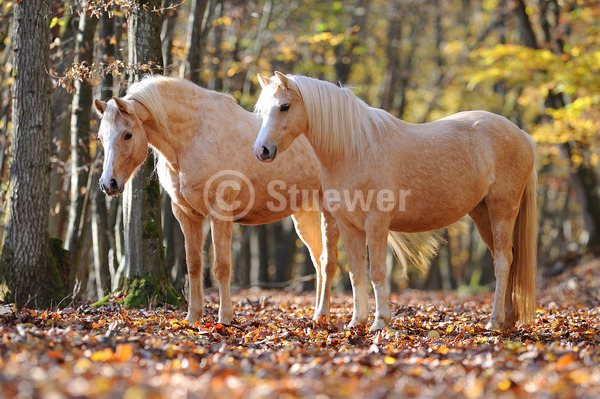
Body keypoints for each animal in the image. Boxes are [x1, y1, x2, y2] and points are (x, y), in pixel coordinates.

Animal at [94, 75, 342, 324]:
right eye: (100, 137)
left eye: (128, 134)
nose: (108, 184)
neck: (192, 137)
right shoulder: (186, 215)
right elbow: (194, 264)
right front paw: (193, 316)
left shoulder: (219, 214)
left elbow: (221, 265)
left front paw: (224, 318)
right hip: (304, 215)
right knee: (319, 259)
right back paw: (318, 314)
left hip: (330, 211)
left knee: (328, 261)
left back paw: (323, 314)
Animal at [253, 72, 540, 334]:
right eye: (262, 109)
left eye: (284, 106)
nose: (261, 151)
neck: (355, 149)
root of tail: (521, 135)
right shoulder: (348, 226)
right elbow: (356, 272)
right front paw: (356, 322)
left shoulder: (376, 223)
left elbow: (377, 272)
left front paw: (380, 322)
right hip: (482, 214)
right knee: (509, 259)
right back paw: (509, 320)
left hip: (502, 210)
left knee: (503, 261)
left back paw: (494, 322)